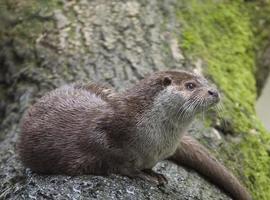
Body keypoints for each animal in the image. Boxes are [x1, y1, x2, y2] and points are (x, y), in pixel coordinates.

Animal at [18, 70, 251, 200]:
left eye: (206, 81)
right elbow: (115, 161)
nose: (214, 91)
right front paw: (142, 175)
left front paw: (154, 172)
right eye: (190, 85)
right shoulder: (106, 135)